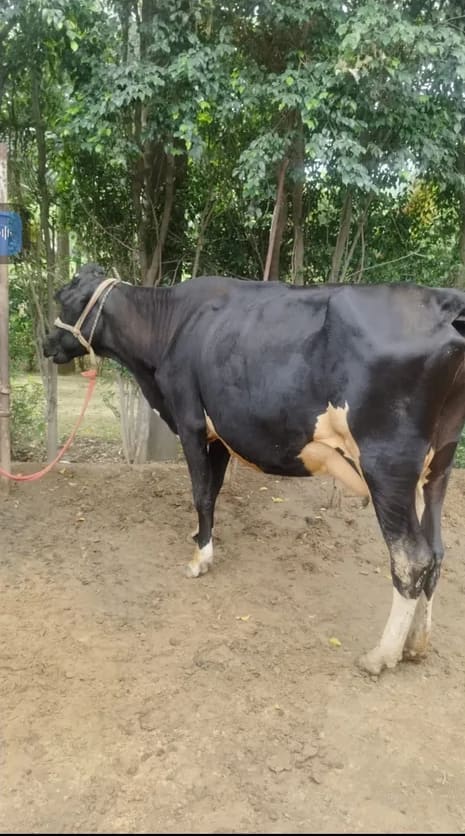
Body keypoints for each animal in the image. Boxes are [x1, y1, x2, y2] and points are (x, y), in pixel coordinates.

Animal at [43, 263, 465, 676]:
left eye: (66, 301)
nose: (46, 344)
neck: (170, 327)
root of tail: (443, 302)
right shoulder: (219, 431)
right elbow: (212, 491)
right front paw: (202, 537)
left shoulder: (190, 420)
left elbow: (200, 492)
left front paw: (200, 560)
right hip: (438, 464)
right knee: (436, 551)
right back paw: (416, 644)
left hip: (388, 465)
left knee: (412, 557)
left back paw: (381, 655)